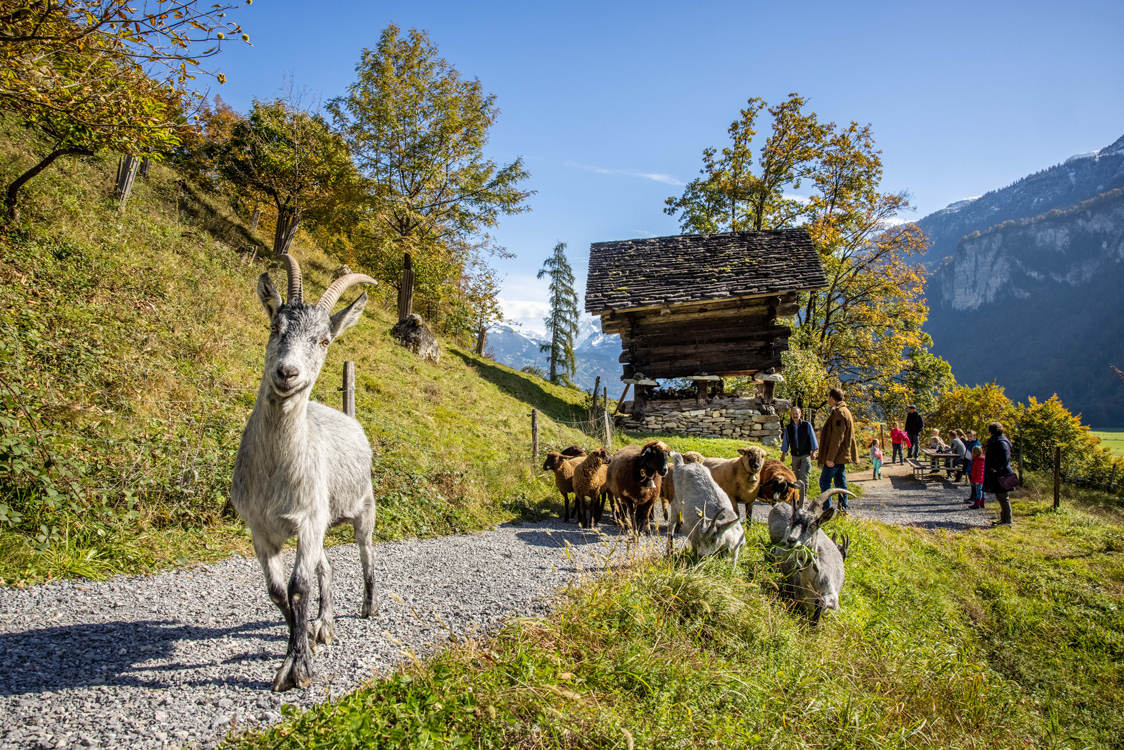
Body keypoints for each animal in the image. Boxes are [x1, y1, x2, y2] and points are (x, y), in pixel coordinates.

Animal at [230, 254, 379, 692]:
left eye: (324, 341)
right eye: (274, 327)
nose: (287, 373)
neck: (276, 474)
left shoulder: (308, 519)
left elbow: (300, 586)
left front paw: (296, 669)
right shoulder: (261, 528)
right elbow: (279, 591)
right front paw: (302, 643)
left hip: (363, 508)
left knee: (366, 554)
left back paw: (368, 606)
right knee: (325, 568)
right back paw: (323, 624)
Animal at [768, 490, 854, 625]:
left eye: (813, 525)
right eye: (791, 520)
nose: (791, 540)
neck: (812, 580)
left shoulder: (833, 598)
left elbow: (821, 602)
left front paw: (813, 626)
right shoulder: (799, 599)